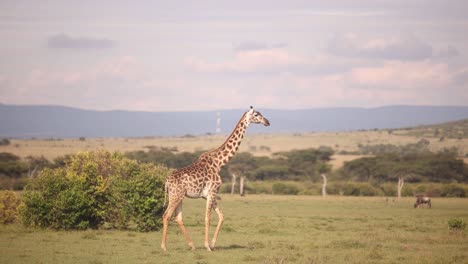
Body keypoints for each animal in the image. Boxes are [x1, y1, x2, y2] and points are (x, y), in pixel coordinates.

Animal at [162, 105, 268, 252]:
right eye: (257, 114)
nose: (267, 122)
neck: (219, 163)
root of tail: (167, 181)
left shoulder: (208, 194)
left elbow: (221, 216)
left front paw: (212, 244)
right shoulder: (212, 191)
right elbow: (208, 218)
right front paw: (207, 246)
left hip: (179, 196)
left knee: (177, 217)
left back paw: (192, 245)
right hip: (175, 195)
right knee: (166, 215)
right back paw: (164, 247)